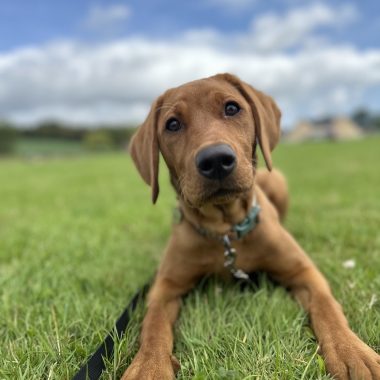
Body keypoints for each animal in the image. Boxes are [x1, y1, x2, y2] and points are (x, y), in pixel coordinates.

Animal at [122, 72, 380, 378]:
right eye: (172, 124)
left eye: (232, 108)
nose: (215, 160)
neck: (226, 231)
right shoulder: (165, 287)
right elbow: (153, 325)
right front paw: (148, 366)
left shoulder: (304, 272)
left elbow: (327, 306)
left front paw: (351, 352)